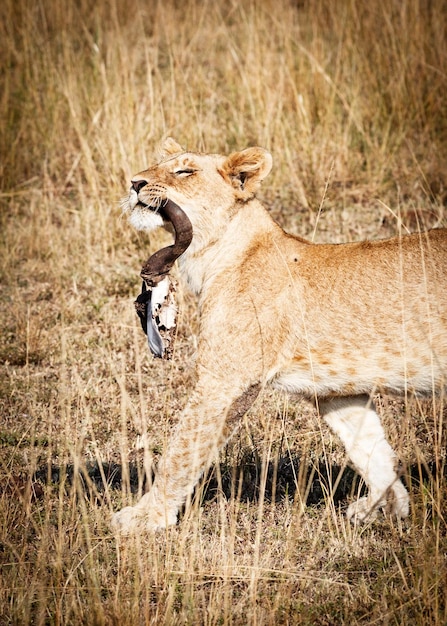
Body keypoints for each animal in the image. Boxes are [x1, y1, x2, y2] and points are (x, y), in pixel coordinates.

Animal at [114, 138, 446, 532]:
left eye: (184, 170)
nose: (134, 182)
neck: (215, 256)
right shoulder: (334, 391)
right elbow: (370, 448)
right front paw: (387, 507)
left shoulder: (224, 380)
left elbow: (182, 450)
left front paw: (144, 516)